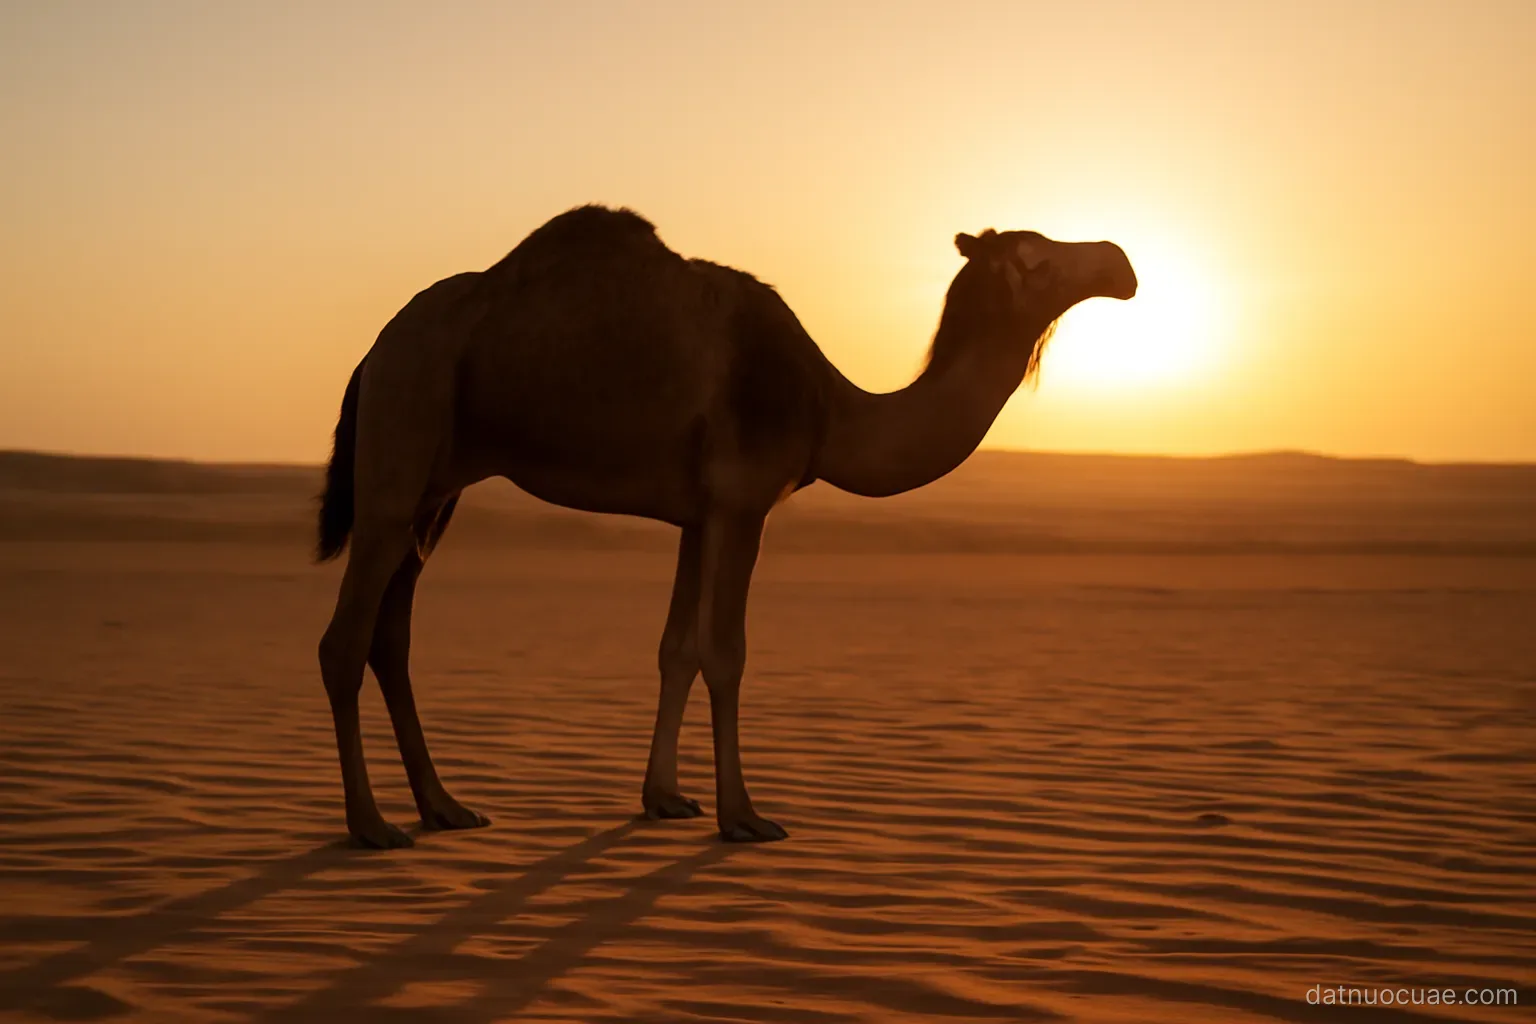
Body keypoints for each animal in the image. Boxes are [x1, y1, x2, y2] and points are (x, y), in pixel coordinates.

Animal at [315, 205, 1136, 847]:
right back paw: (370, 825)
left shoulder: (699, 514)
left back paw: (443, 807)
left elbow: (675, 649)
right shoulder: (743, 502)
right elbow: (727, 652)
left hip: (437, 490)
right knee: (343, 641)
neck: (831, 408)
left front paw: (664, 798)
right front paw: (742, 815)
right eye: (1035, 257)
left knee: (393, 635)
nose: (1121, 263)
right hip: (401, 441)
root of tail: (373, 351)